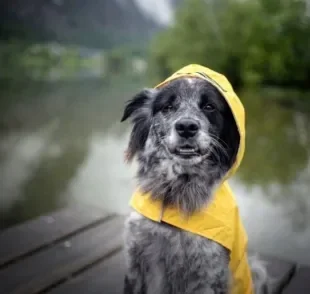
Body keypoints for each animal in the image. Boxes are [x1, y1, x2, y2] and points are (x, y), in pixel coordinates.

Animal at [121, 70, 268, 292]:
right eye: (168, 107)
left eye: (209, 106)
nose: (187, 127)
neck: (176, 194)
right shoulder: (136, 263)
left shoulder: (207, 275)